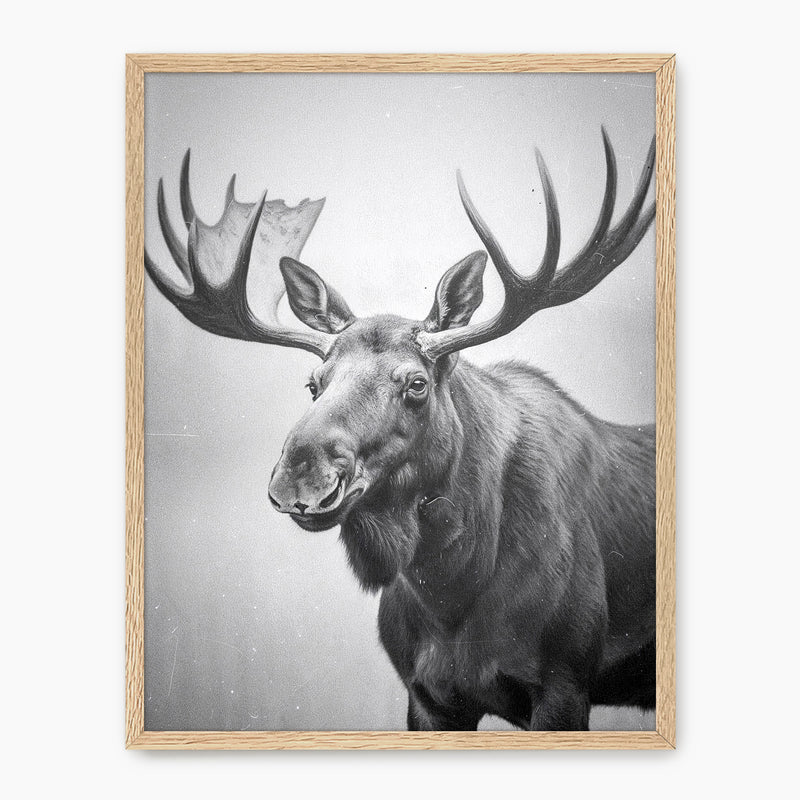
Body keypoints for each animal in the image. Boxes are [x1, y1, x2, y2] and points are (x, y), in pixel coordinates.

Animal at [145, 129, 656, 731]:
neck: (453, 588)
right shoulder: (427, 695)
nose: (299, 477)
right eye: (313, 383)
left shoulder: (566, 680)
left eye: (415, 383)